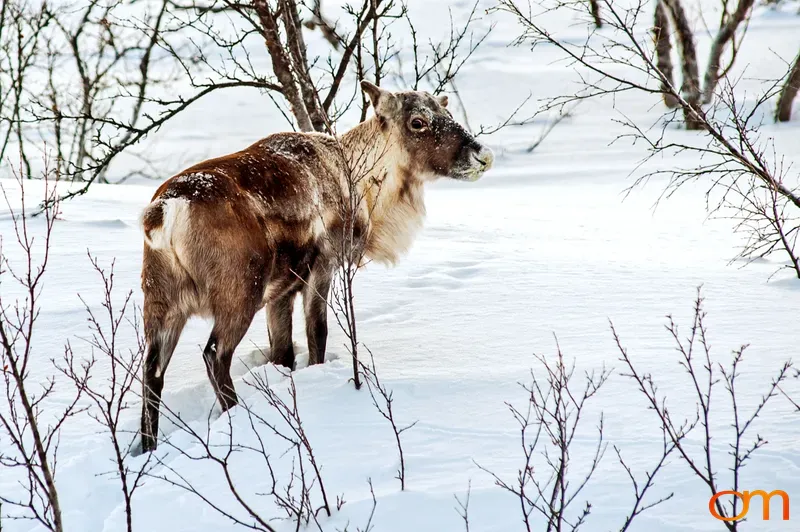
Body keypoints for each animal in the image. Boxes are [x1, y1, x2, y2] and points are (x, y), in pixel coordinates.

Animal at [136, 81, 494, 452]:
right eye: (417, 122)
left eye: (446, 112)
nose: (483, 155)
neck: (363, 191)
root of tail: (164, 213)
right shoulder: (323, 264)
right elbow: (316, 333)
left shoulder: (282, 291)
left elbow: (282, 351)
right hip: (238, 290)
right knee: (214, 354)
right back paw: (235, 417)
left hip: (161, 299)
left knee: (152, 370)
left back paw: (148, 447)